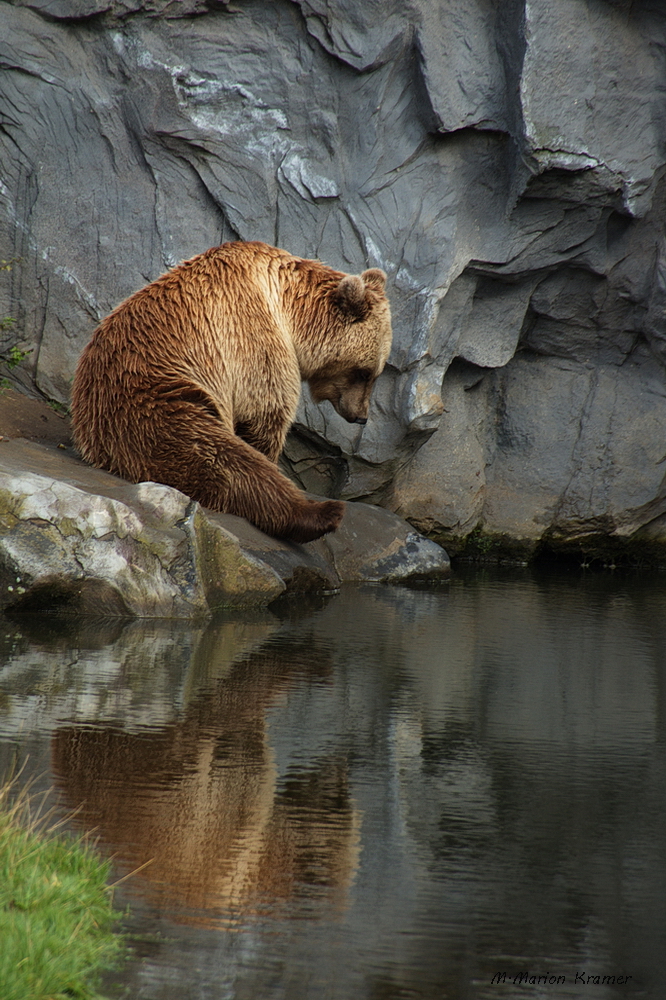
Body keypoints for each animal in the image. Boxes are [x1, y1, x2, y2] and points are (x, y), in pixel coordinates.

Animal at [70, 239, 392, 544]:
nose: (361, 416)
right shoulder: (251, 331)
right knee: (223, 458)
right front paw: (270, 452)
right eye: (364, 372)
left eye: (376, 373)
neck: (291, 311)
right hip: (154, 403)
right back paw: (321, 513)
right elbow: (265, 412)